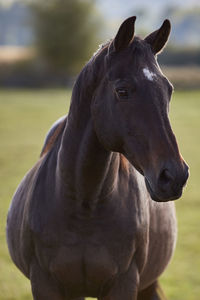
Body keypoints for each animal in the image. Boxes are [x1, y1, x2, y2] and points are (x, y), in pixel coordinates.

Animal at [6, 17, 189, 300]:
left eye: (168, 90)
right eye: (122, 91)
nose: (174, 176)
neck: (84, 203)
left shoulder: (124, 284)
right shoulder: (45, 284)